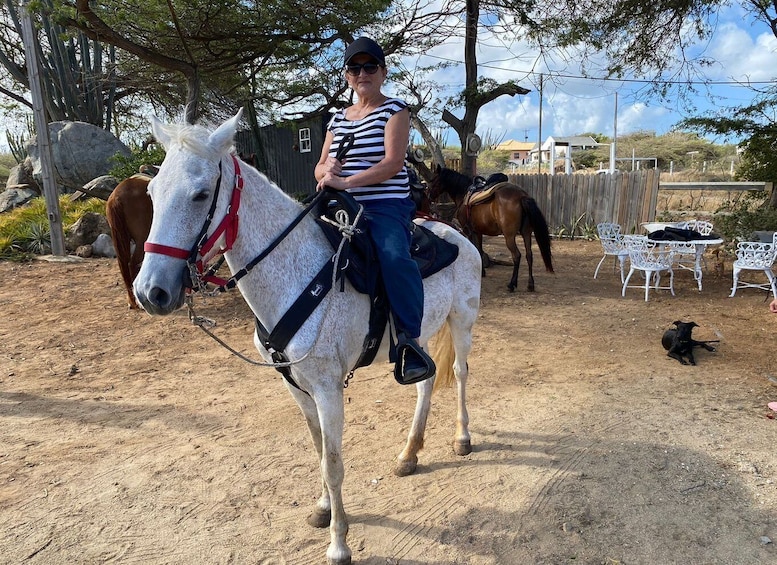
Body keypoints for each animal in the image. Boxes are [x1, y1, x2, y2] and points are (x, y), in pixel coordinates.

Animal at [133, 108, 482, 560]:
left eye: (200, 194)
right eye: (152, 192)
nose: (150, 292)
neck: (297, 273)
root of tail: (455, 234)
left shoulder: (328, 389)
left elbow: (333, 464)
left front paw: (338, 544)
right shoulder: (296, 387)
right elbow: (318, 452)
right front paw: (322, 509)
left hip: (462, 321)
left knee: (459, 374)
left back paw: (462, 438)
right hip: (417, 339)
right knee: (424, 383)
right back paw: (409, 454)